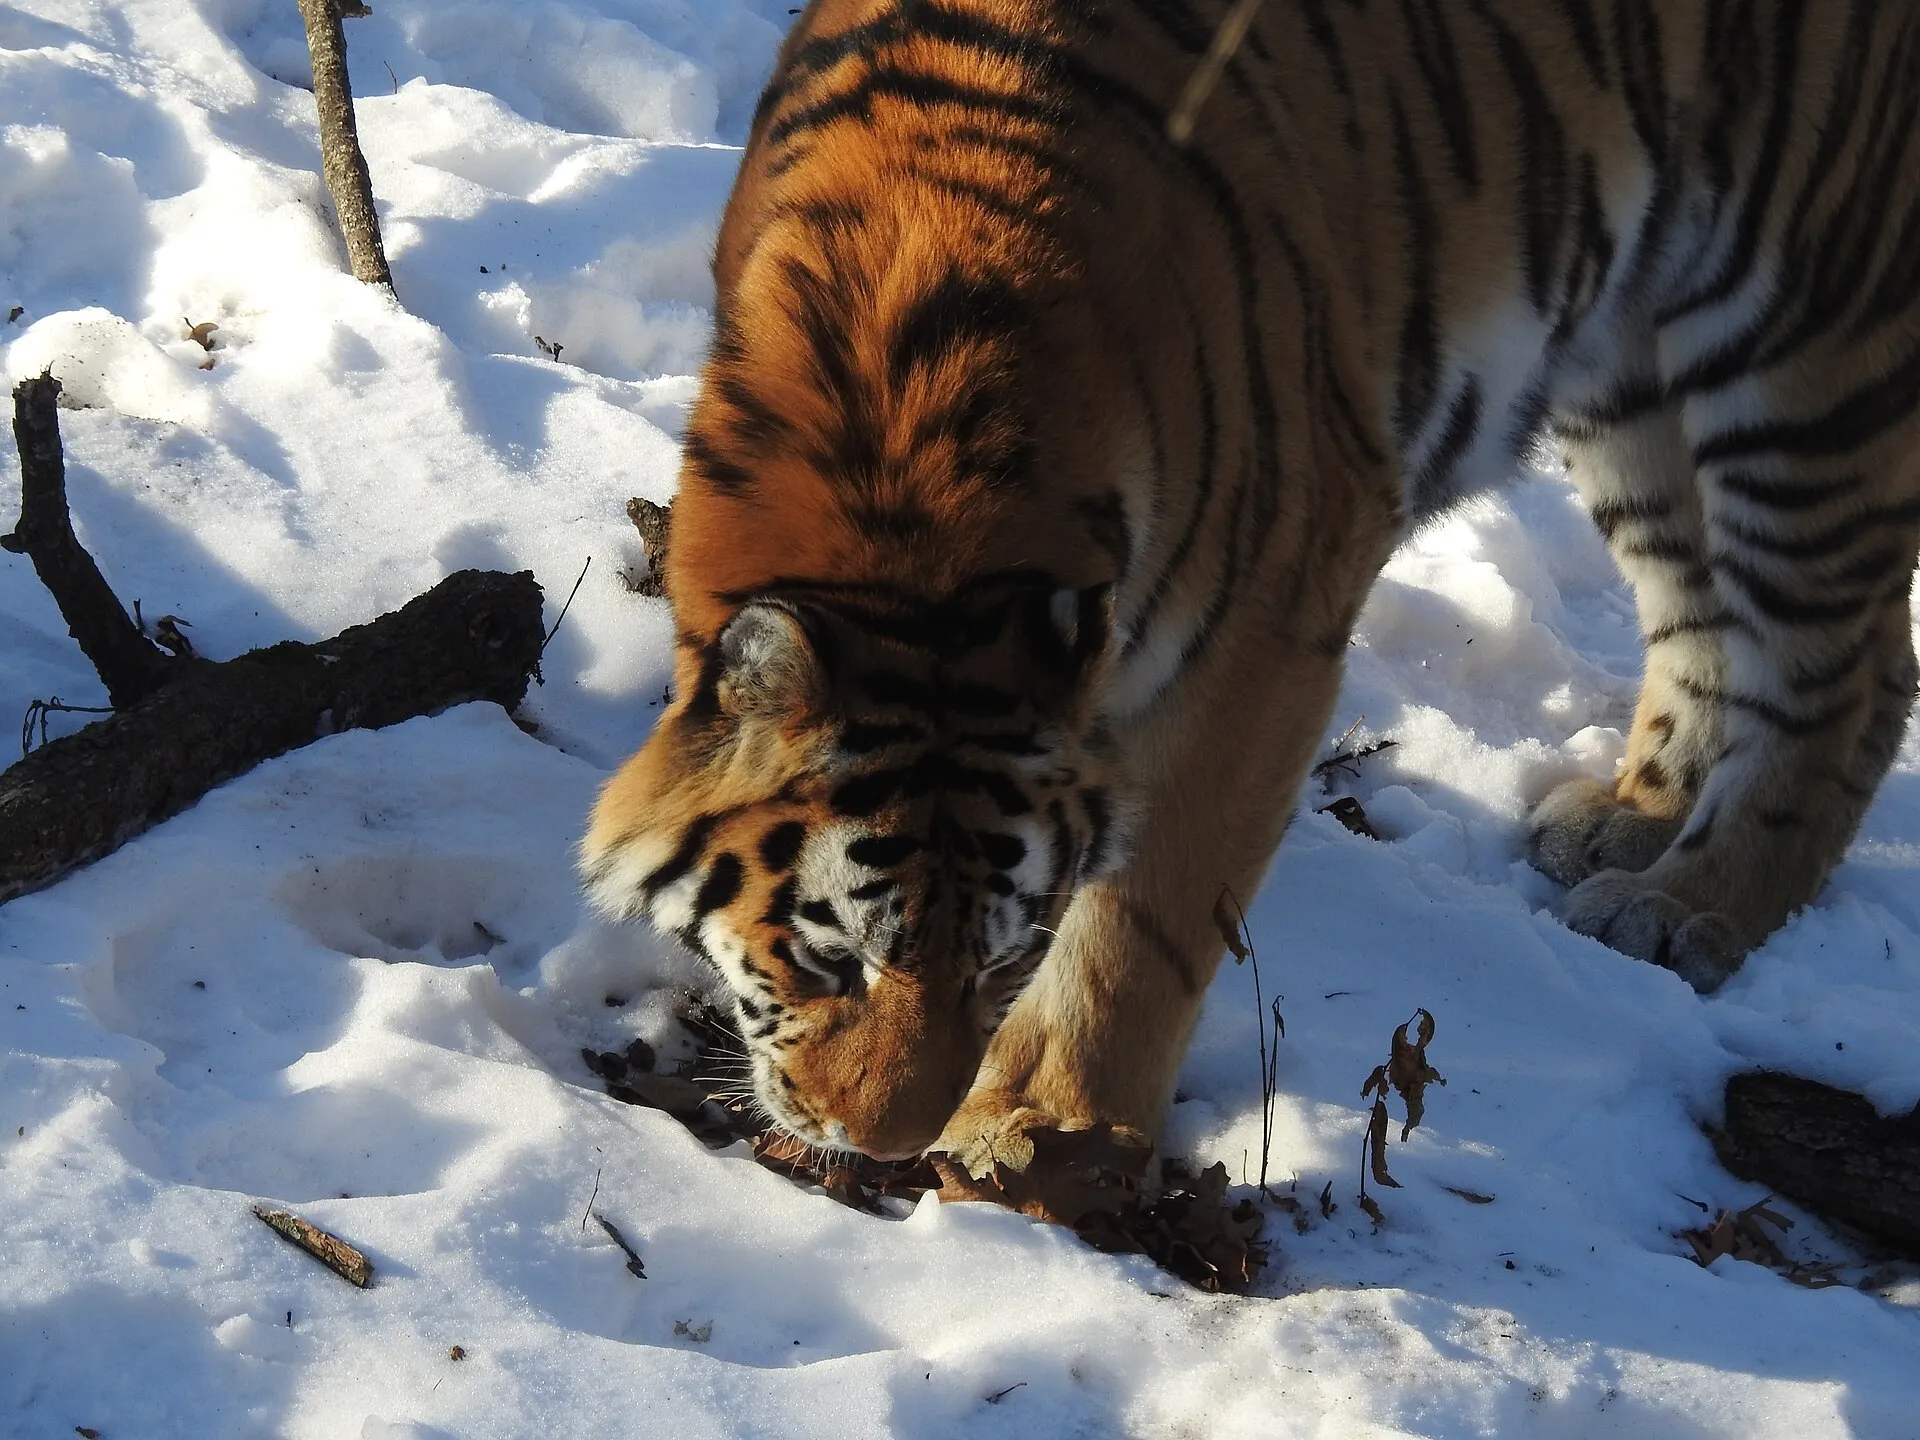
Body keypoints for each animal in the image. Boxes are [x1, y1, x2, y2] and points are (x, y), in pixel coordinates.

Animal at [581, 0, 1920, 1176]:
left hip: (1807, 329)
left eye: (995, 962)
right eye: (831, 963)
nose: (880, 1145)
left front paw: (1043, 1130)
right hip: (1633, 381)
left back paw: (1690, 908)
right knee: (1712, 617)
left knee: (1854, 672)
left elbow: (1146, 923)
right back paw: (1634, 818)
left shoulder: (1272, 623)